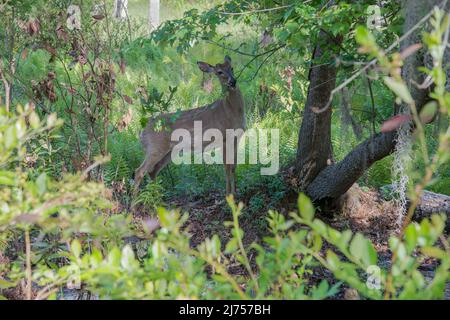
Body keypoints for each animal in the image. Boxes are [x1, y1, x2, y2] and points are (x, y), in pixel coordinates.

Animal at [134, 56, 246, 195]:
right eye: (219, 72)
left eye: (232, 67)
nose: (233, 82)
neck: (231, 110)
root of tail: (141, 131)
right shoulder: (224, 138)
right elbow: (227, 168)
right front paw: (228, 196)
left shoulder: (236, 139)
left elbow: (234, 167)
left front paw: (235, 194)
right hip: (155, 147)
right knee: (139, 171)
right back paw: (136, 201)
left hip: (169, 151)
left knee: (152, 171)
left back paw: (157, 198)